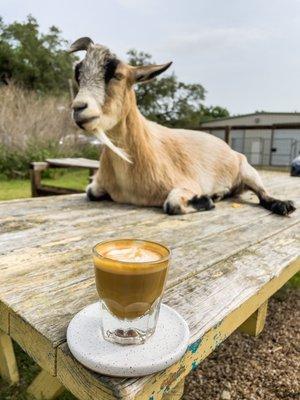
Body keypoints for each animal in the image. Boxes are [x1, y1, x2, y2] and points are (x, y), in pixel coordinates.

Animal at [68, 38, 296, 216]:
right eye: (78, 74)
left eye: (117, 75)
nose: (78, 108)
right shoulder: (96, 186)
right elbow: (91, 192)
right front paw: (209, 198)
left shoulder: (187, 183)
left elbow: (172, 204)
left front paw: (204, 200)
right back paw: (220, 193)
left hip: (247, 169)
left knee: (263, 193)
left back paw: (282, 205)